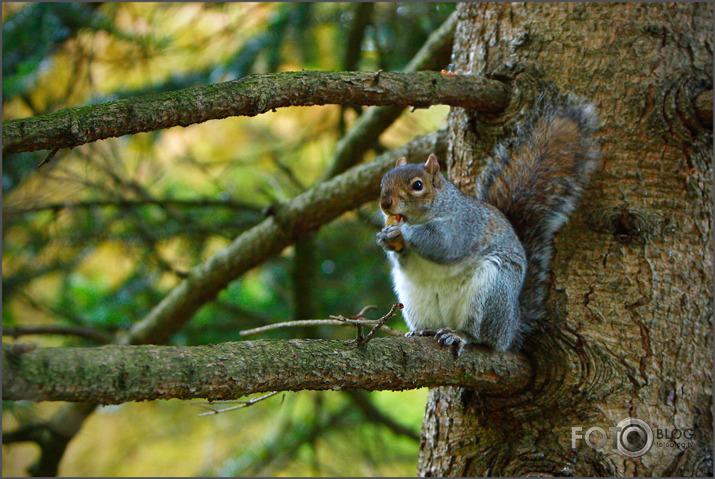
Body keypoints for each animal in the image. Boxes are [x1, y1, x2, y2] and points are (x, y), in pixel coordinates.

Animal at [378, 95, 600, 354]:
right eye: (383, 181)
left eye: (417, 185)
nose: (385, 203)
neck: (430, 212)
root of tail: (511, 328)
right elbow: (403, 260)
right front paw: (385, 237)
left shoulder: (464, 226)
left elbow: (442, 243)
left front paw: (403, 231)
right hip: (414, 300)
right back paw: (423, 331)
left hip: (491, 291)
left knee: (482, 335)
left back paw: (459, 335)